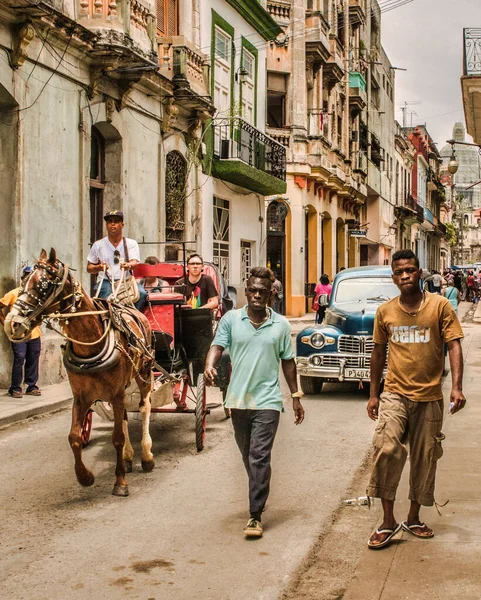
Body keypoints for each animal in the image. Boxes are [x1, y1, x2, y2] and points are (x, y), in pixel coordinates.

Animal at [5, 248, 156, 496]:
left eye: (44, 285)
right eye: (24, 281)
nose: (12, 324)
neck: (90, 346)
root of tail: (132, 309)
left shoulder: (116, 394)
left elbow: (116, 437)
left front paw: (120, 482)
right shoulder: (82, 396)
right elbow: (74, 437)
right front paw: (85, 476)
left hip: (144, 374)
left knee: (144, 408)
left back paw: (146, 456)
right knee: (125, 416)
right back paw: (128, 457)